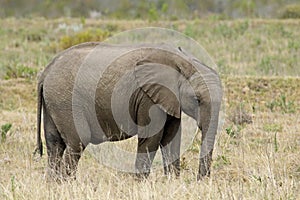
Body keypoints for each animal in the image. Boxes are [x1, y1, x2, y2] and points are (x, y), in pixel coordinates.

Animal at [35, 42, 223, 181]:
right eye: (197, 99)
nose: (200, 180)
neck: (184, 61)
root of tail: (46, 72)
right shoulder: (148, 97)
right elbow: (151, 138)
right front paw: (140, 185)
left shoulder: (169, 98)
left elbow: (171, 138)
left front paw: (173, 183)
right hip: (66, 100)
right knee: (77, 141)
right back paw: (67, 184)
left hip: (54, 101)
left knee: (54, 145)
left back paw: (53, 185)